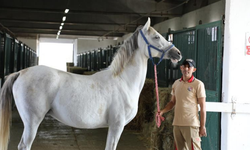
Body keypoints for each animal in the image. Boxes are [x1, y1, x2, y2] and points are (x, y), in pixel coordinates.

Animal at [0, 17, 182, 150]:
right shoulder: (116, 126)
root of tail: (21, 72)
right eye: (156, 36)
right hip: (32, 122)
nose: (177, 53)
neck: (123, 81)